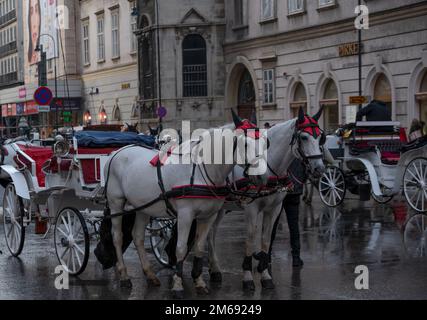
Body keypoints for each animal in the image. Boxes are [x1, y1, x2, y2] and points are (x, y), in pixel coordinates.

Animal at [104, 112, 268, 298]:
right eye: (245, 143)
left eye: (265, 142)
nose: (263, 177)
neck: (203, 168)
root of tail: (116, 152)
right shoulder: (185, 215)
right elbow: (181, 249)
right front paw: (177, 285)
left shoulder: (208, 216)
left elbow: (199, 247)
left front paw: (199, 282)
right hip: (115, 202)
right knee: (117, 237)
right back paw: (124, 275)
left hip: (143, 207)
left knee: (137, 236)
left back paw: (150, 274)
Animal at [209, 107, 326, 290]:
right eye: (304, 137)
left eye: (321, 137)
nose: (319, 168)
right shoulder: (251, 208)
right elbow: (250, 238)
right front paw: (248, 276)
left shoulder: (274, 208)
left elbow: (266, 238)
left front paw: (265, 275)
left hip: (220, 209)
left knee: (211, 234)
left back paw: (212, 268)